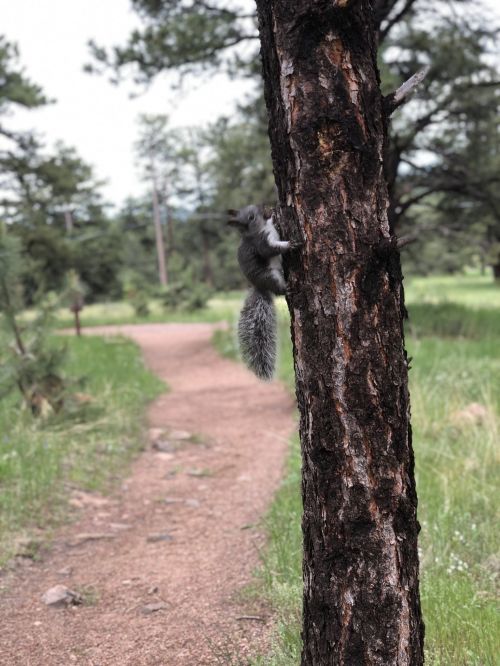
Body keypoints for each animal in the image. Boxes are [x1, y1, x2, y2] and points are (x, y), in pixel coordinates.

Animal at [227, 205, 299, 380]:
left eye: (252, 207)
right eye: (251, 217)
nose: (262, 207)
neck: (262, 228)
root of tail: (260, 286)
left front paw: (274, 214)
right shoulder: (261, 243)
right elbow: (269, 250)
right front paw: (290, 244)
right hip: (272, 276)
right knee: (279, 290)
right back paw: (287, 289)